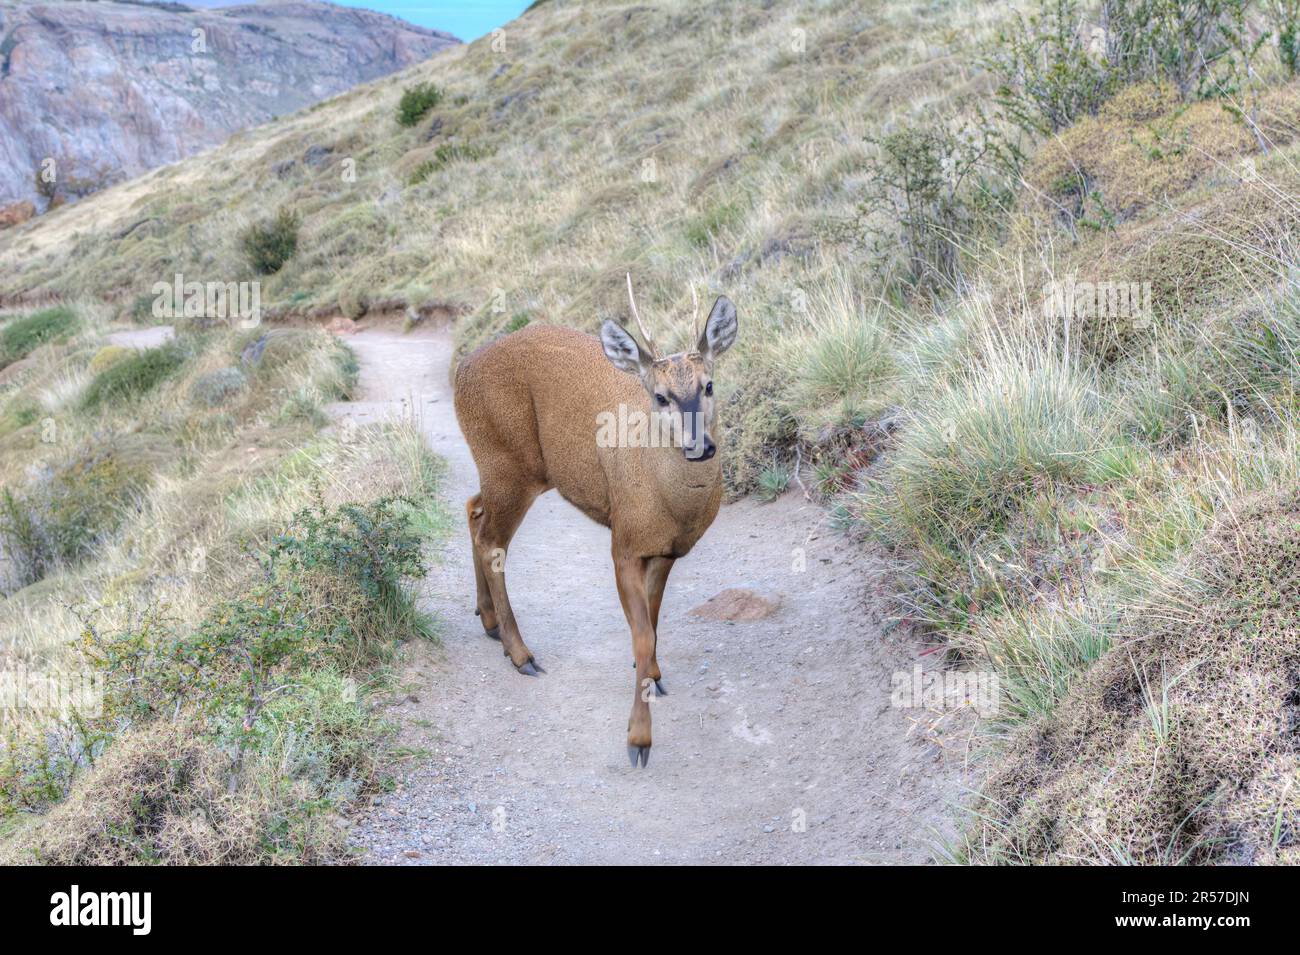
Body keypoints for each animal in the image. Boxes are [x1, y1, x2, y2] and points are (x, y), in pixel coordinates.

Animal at [454, 278, 743, 769]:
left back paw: (489, 622)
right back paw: (521, 653)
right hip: (508, 461)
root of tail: (459, 369)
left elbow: (653, 620)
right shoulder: (622, 542)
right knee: (492, 539)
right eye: (660, 396)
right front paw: (639, 740)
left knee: (474, 510)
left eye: (709, 385)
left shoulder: (666, 549)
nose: (699, 446)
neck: (666, 501)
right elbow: (641, 634)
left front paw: (655, 675)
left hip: (506, 470)